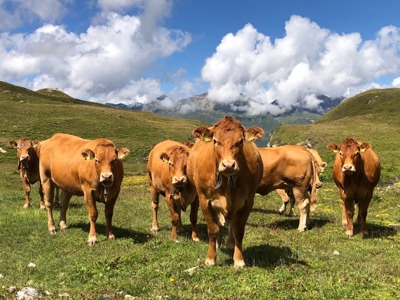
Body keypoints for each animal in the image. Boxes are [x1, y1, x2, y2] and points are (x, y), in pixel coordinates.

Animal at [188, 116, 266, 268]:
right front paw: (211, 258)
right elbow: (213, 229)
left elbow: (238, 231)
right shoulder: (205, 200)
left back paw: (230, 243)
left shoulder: (247, 202)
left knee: (232, 225)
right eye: (215, 141)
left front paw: (239, 260)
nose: (228, 165)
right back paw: (217, 244)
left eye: (240, 141)